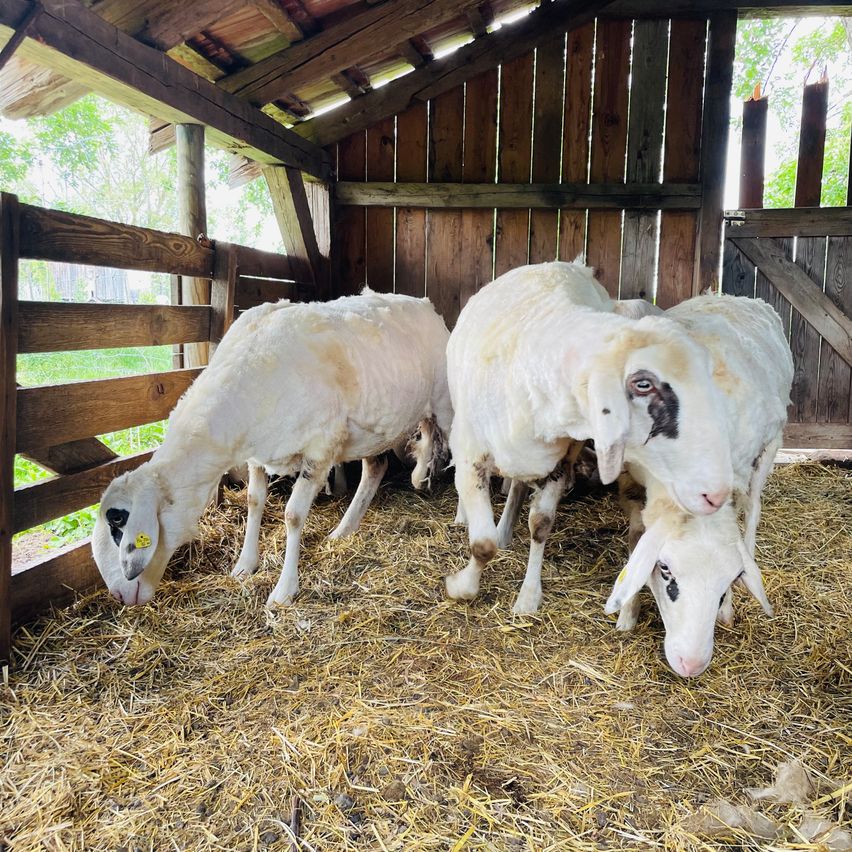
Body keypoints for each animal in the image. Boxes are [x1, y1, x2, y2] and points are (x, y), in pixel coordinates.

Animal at [92, 289, 452, 608]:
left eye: (117, 527)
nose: (119, 596)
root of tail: (425, 304)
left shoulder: (320, 447)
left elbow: (292, 516)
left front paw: (283, 590)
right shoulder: (258, 454)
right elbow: (254, 502)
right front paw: (244, 565)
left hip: (444, 402)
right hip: (371, 429)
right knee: (376, 468)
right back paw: (344, 530)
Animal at [444, 261, 734, 615]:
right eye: (643, 384)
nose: (716, 494)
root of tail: (562, 264)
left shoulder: (560, 461)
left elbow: (540, 525)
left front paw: (528, 597)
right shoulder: (470, 456)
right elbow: (482, 544)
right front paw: (461, 586)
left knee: (519, 487)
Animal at [605, 294, 793, 676]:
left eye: (732, 578)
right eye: (664, 569)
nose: (691, 664)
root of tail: (733, 296)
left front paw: (728, 608)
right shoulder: (631, 476)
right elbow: (637, 538)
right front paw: (627, 614)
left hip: (771, 445)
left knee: (753, 510)